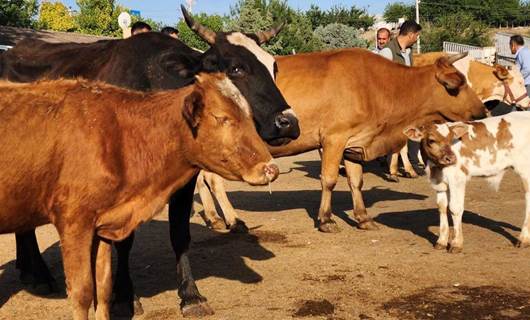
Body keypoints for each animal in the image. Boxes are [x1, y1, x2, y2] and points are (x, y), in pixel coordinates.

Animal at [0, 73, 278, 320]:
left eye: (249, 116)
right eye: (222, 118)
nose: (270, 168)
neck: (118, 135)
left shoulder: (103, 224)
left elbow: (103, 288)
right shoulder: (74, 223)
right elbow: (82, 293)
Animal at [191, 48, 486, 232]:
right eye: (455, 85)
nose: (483, 111)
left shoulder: (354, 142)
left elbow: (356, 181)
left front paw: (363, 218)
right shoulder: (334, 138)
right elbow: (330, 179)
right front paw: (325, 219)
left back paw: (214, 218)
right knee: (212, 180)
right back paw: (232, 220)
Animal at [402, 112, 528, 252]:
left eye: (451, 139)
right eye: (431, 140)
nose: (451, 158)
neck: (434, 168)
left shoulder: (457, 179)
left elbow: (455, 208)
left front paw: (456, 243)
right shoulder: (439, 183)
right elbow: (442, 207)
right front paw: (442, 241)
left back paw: (523, 239)